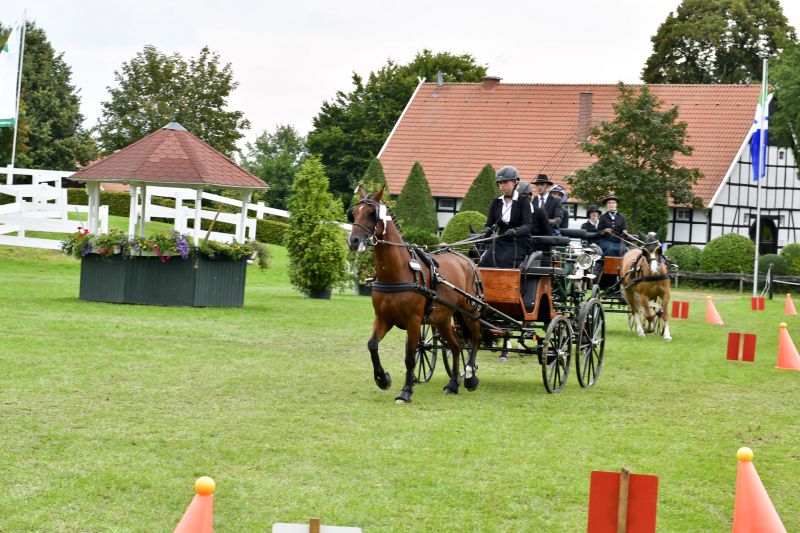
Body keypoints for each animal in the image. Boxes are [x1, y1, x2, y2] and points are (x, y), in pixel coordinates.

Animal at [347, 186, 483, 403]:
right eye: (354, 213)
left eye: (371, 213)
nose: (353, 241)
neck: (397, 272)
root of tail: (468, 261)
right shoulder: (383, 318)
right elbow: (372, 345)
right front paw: (383, 379)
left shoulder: (413, 321)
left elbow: (410, 357)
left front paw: (406, 391)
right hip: (442, 319)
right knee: (455, 346)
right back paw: (453, 384)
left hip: (470, 312)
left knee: (476, 340)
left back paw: (470, 377)